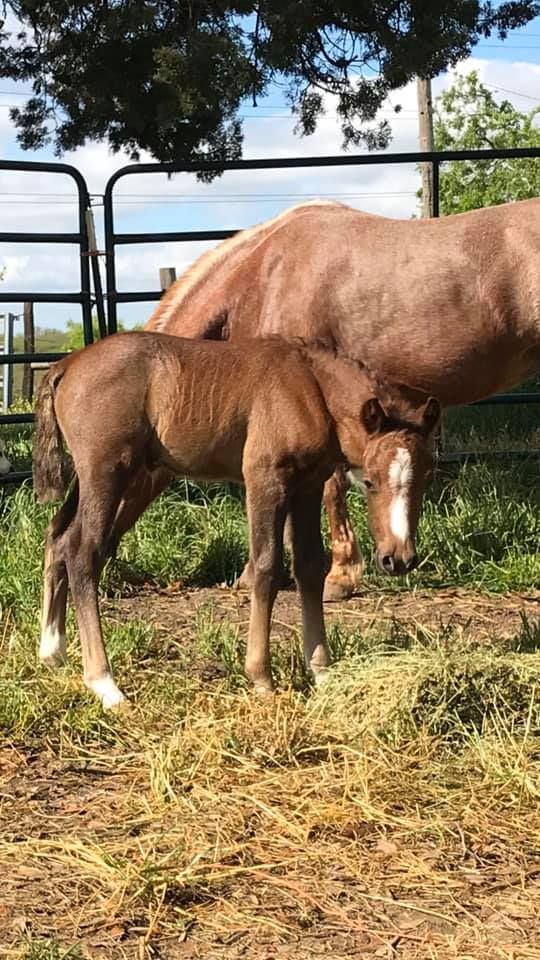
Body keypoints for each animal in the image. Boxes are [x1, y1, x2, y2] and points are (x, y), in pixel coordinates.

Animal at [33, 332, 440, 708]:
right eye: (369, 481)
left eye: (426, 476)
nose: (398, 559)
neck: (311, 387)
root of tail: (65, 365)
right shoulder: (265, 479)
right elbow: (266, 567)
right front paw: (261, 678)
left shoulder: (308, 485)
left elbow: (309, 568)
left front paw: (323, 672)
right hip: (107, 473)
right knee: (83, 553)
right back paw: (105, 684)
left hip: (91, 481)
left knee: (58, 536)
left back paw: (53, 652)